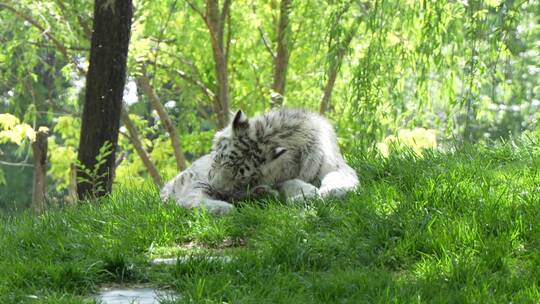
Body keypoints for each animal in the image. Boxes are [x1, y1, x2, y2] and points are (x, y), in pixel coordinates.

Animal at [162, 108, 360, 215]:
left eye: (240, 177)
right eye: (219, 158)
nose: (216, 190)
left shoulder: (336, 166)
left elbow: (339, 179)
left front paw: (332, 191)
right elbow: (292, 183)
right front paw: (308, 194)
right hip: (196, 181)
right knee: (188, 201)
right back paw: (225, 208)